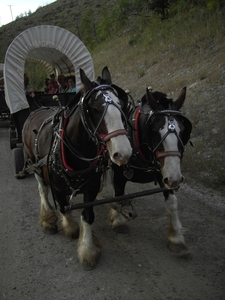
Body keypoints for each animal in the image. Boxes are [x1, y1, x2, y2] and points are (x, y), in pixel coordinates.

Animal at [21, 67, 132, 268]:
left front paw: (87, 249)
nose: (123, 152)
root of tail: (38, 109)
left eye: (121, 104)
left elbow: (87, 215)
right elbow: (64, 208)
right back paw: (47, 218)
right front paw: (70, 228)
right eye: (95, 109)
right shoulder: (56, 186)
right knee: (42, 190)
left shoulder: (91, 186)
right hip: (34, 164)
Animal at [110, 86, 192, 253]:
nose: (175, 178)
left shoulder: (163, 172)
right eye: (154, 130)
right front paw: (119, 221)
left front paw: (176, 238)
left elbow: (172, 202)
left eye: (183, 130)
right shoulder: (118, 173)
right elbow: (118, 195)